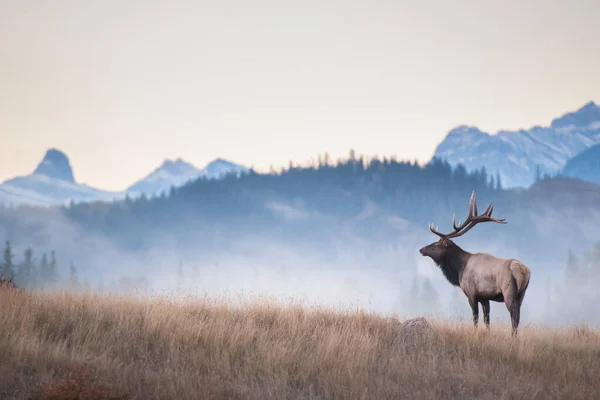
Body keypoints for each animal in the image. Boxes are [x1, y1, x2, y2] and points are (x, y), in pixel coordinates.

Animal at [420, 192, 532, 336]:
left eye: (436, 245)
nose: (421, 249)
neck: (459, 269)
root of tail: (524, 270)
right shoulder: (485, 297)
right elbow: (487, 320)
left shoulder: (472, 294)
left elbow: (475, 318)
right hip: (522, 294)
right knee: (517, 317)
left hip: (509, 292)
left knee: (513, 317)